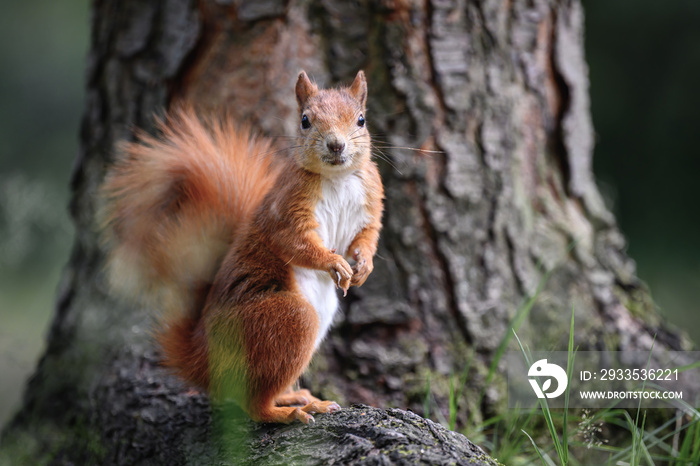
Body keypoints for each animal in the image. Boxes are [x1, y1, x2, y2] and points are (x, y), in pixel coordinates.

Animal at [100, 71, 382, 424]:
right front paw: (334, 263)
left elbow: (366, 238)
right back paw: (289, 412)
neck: (338, 178)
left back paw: (297, 397)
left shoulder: (370, 203)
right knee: (254, 405)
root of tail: (202, 359)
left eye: (361, 120)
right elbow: (295, 243)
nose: (336, 144)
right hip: (289, 320)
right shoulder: (286, 210)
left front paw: (364, 266)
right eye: (305, 121)